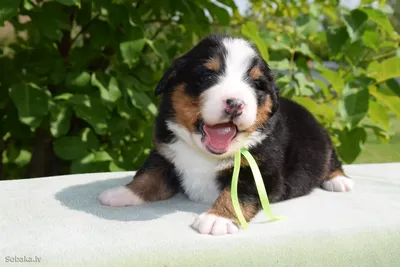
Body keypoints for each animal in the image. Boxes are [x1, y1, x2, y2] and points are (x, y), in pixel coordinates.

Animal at [98, 33, 354, 237]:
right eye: (207, 75)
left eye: (257, 84)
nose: (235, 104)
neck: (205, 155)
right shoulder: (164, 153)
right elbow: (148, 175)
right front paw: (123, 192)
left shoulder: (261, 171)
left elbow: (238, 193)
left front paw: (217, 218)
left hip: (324, 142)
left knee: (332, 161)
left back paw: (339, 180)